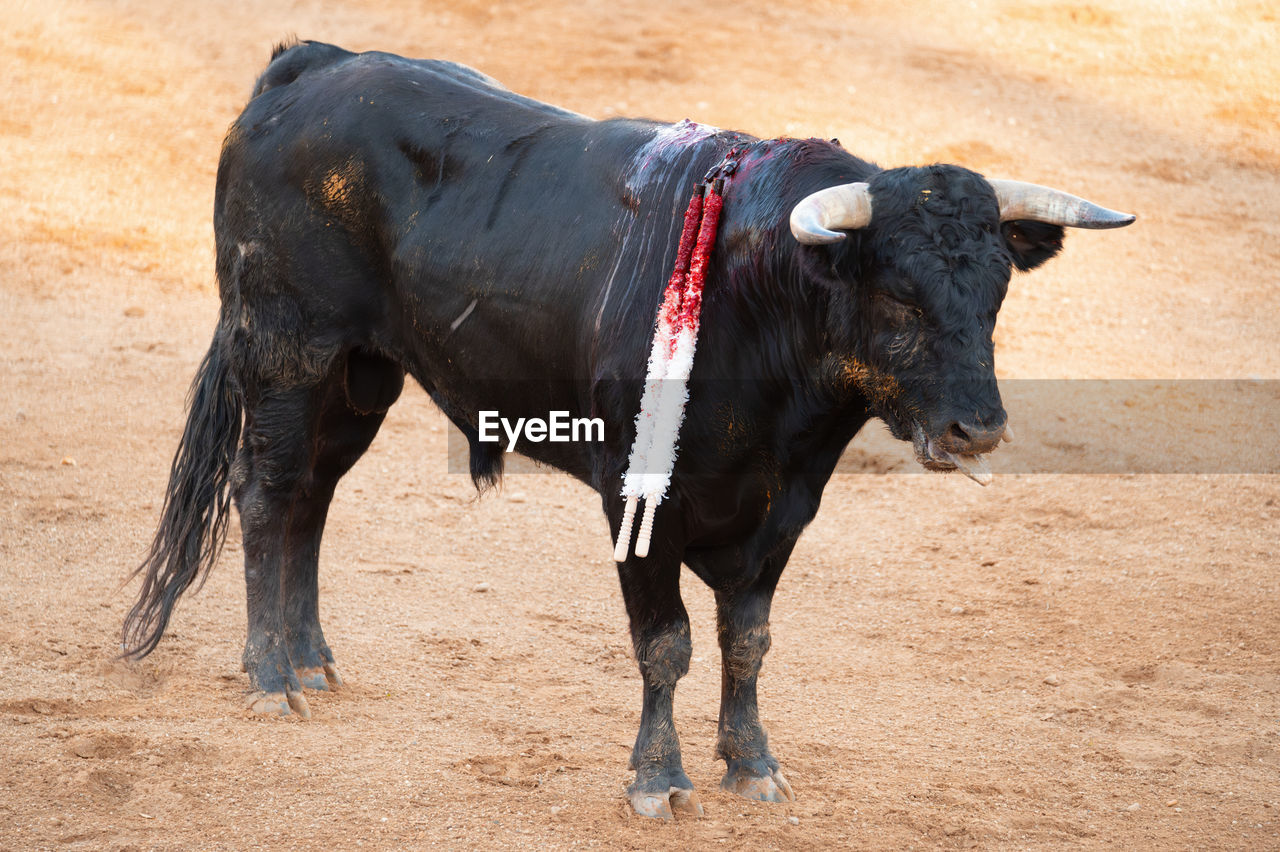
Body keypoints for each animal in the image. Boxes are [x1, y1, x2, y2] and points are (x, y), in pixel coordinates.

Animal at [124, 39, 1136, 818]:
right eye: (897, 296)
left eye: (997, 291)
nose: (979, 429)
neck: (758, 306)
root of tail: (311, 66)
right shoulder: (637, 501)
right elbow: (667, 642)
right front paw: (658, 779)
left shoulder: (783, 511)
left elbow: (747, 640)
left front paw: (753, 765)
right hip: (287, 350)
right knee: (264, 494)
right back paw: (270, 678)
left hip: (361, 375)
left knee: (313, 496)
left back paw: (313, 660)